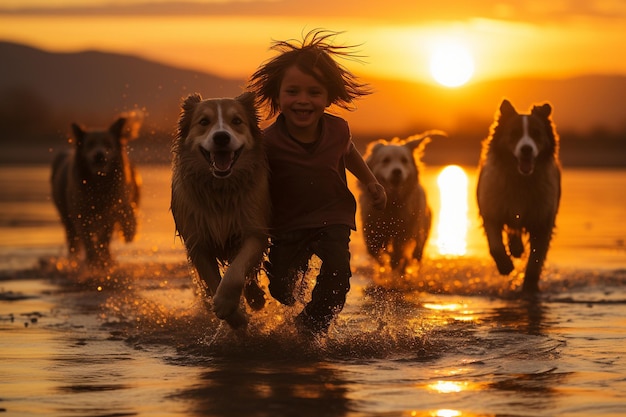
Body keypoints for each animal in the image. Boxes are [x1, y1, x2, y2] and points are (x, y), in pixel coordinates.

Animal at [50, 115, 141, 268]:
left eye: (108, 144)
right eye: (90, 144)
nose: (99, 155)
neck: (98, 184)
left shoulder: (110, 216)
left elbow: (104, 239)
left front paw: (104, 260)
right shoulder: (81, 216)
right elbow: (88, 242)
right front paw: (93, 261)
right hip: (67, 219)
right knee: (73, 242)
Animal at [169, 92, 270, 328]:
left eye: (237, 121)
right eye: (204, 122)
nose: (221, 137)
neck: (221, 190)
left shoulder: (254, 229)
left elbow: (235, 273)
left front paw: (226, 304)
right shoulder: (197, 242)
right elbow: (214, 280)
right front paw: (234, 317)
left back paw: (256, 299)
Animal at [356, 130, 444, 272]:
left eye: (404, 160)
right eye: (386, 160)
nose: (397, 171)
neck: (391, 201)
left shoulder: (404, 229)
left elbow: (398, 253)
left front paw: (396, 264)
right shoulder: (371, 226)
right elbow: (373, 250)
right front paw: (383, 263)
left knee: (416, 252)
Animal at [476, 98, 560, 292]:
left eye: (536, 133)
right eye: (514, 133)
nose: (526, 149)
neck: (520, 180)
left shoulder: (542, 217)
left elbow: (536, 258)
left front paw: (529, 286)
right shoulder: (492, 207)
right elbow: (495, 244)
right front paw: (505, 266)